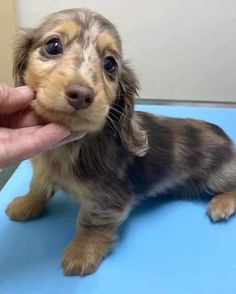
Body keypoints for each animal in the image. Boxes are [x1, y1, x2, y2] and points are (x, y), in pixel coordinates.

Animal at [6, 8, 236, 276]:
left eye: (110, 64)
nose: (81, 95)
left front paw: (82, 253)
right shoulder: (43, 169)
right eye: (53, 46)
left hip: (217, 175)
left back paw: (221, 203)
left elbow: (90, 220)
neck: (67, 148)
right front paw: (26, 204)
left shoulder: (109, 195)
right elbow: (38, 185)